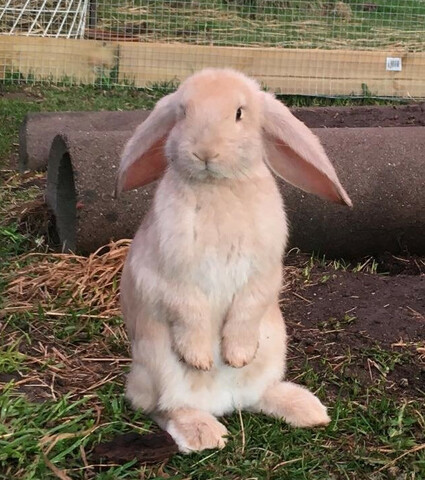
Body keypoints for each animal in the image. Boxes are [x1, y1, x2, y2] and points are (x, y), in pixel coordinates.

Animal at [116, 68, 352, 454]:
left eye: (240, 113)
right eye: (182, 112)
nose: (204, 152)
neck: (218, 186)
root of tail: (225, 402)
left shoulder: (264, 272)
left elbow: (249, 305)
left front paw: (236, 356)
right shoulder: (170, 275)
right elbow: (188, 309)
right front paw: (201, 359)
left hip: (274, 348)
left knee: (258, 396)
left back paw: (309, 411)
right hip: (158, 365)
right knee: (163, 408)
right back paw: (204, 433)